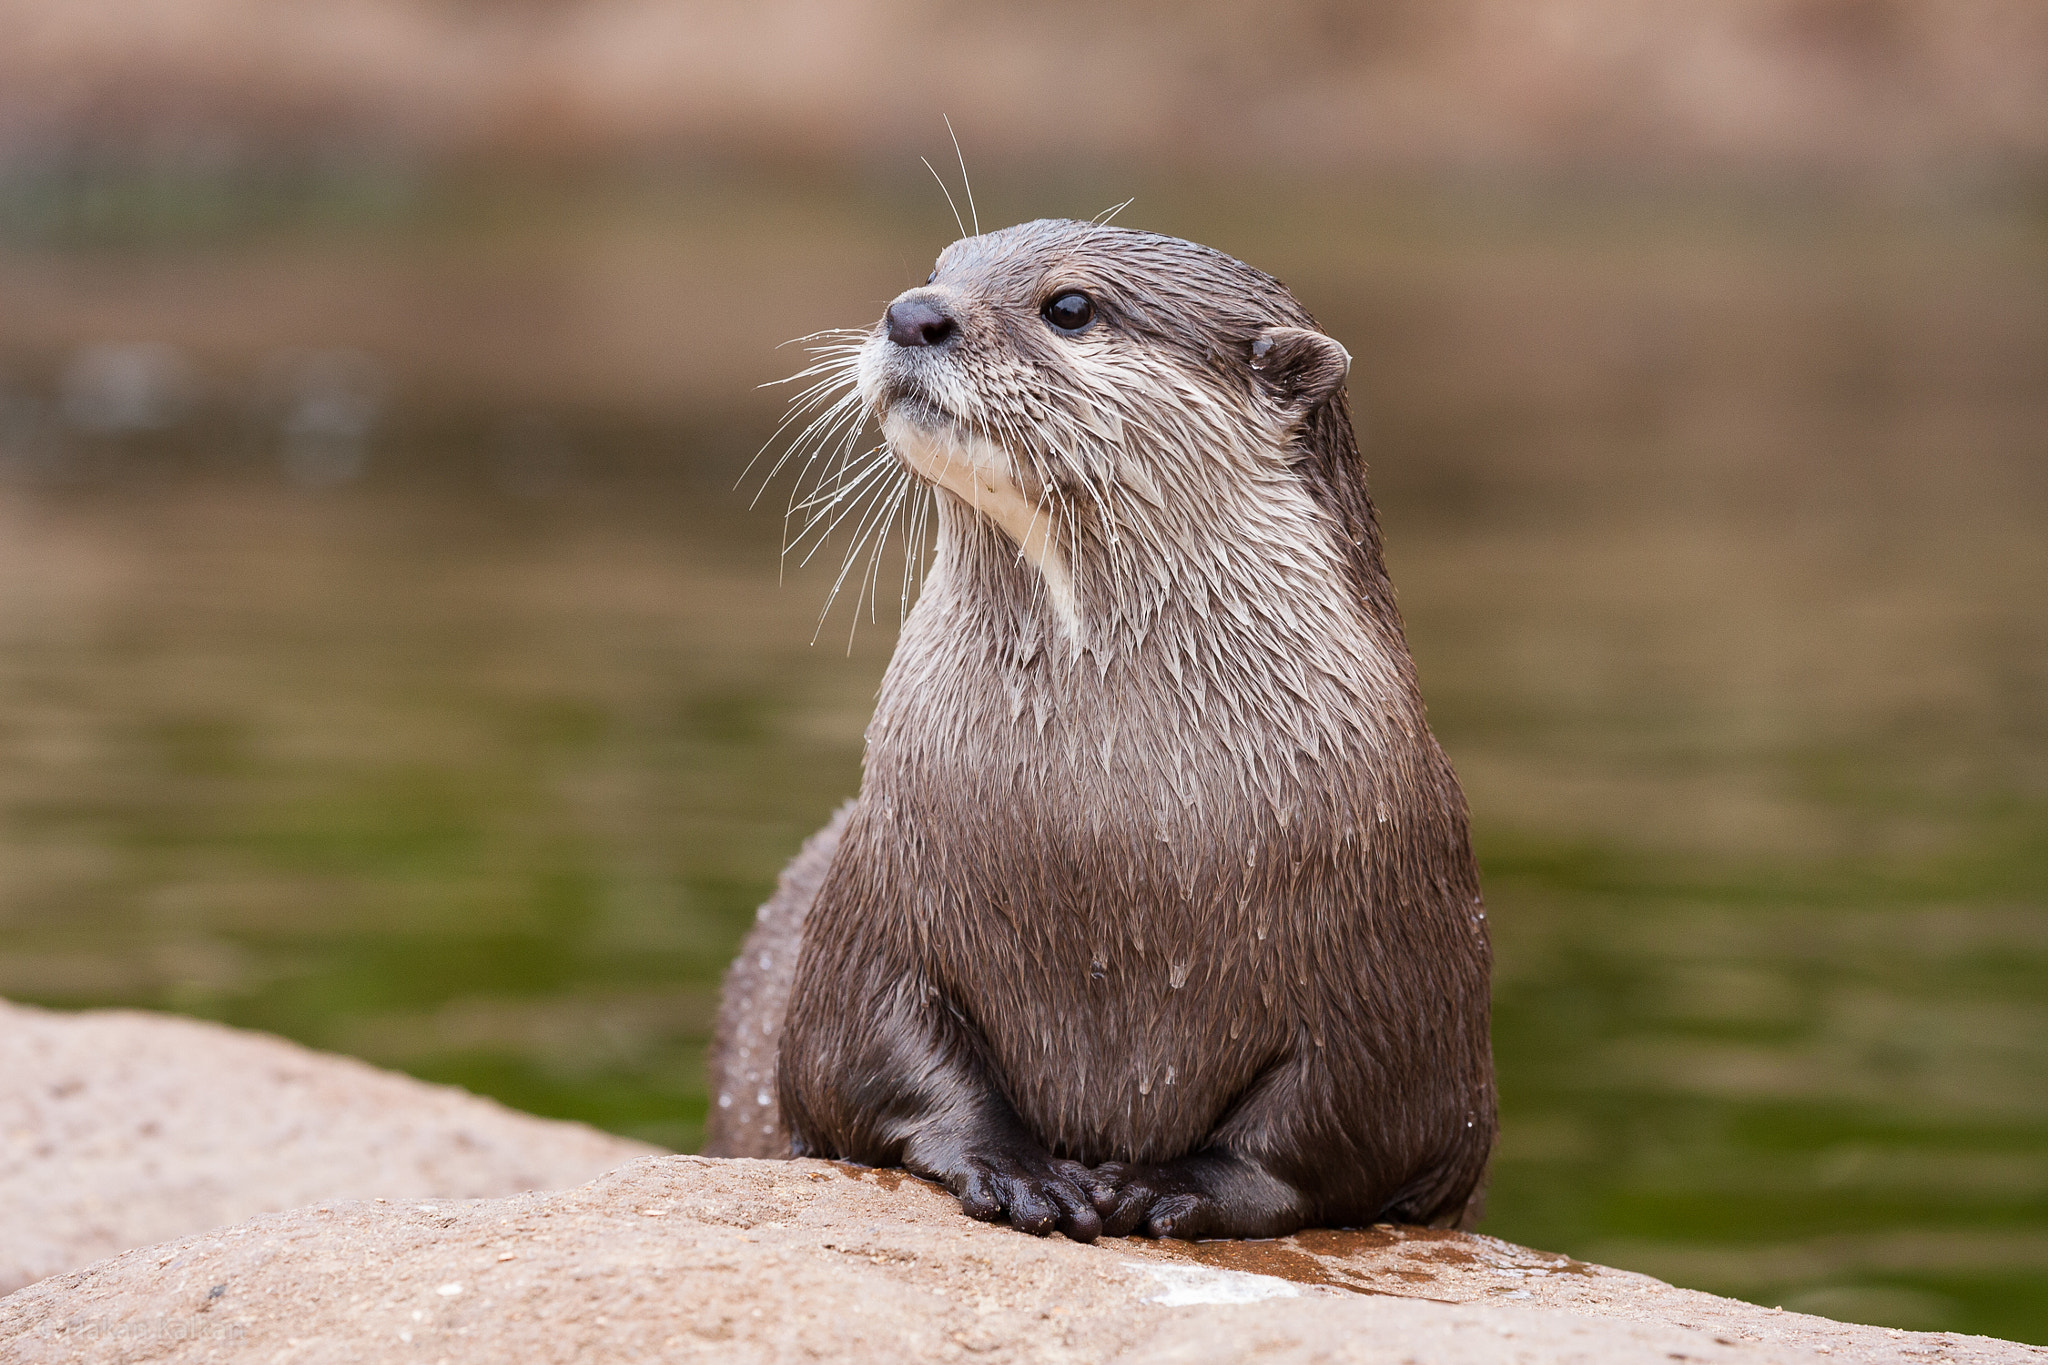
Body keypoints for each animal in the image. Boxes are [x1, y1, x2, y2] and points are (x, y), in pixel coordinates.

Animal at [700, 215, 1490, 1252]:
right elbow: (855, 1054)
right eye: (938, 268)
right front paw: (1016, 1166)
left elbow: (1351, 1127)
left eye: (1069, 306)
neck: (1109, 837)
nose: (913, 313)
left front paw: (1171, 1186)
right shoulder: (879, 905)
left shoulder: (1400, 977)